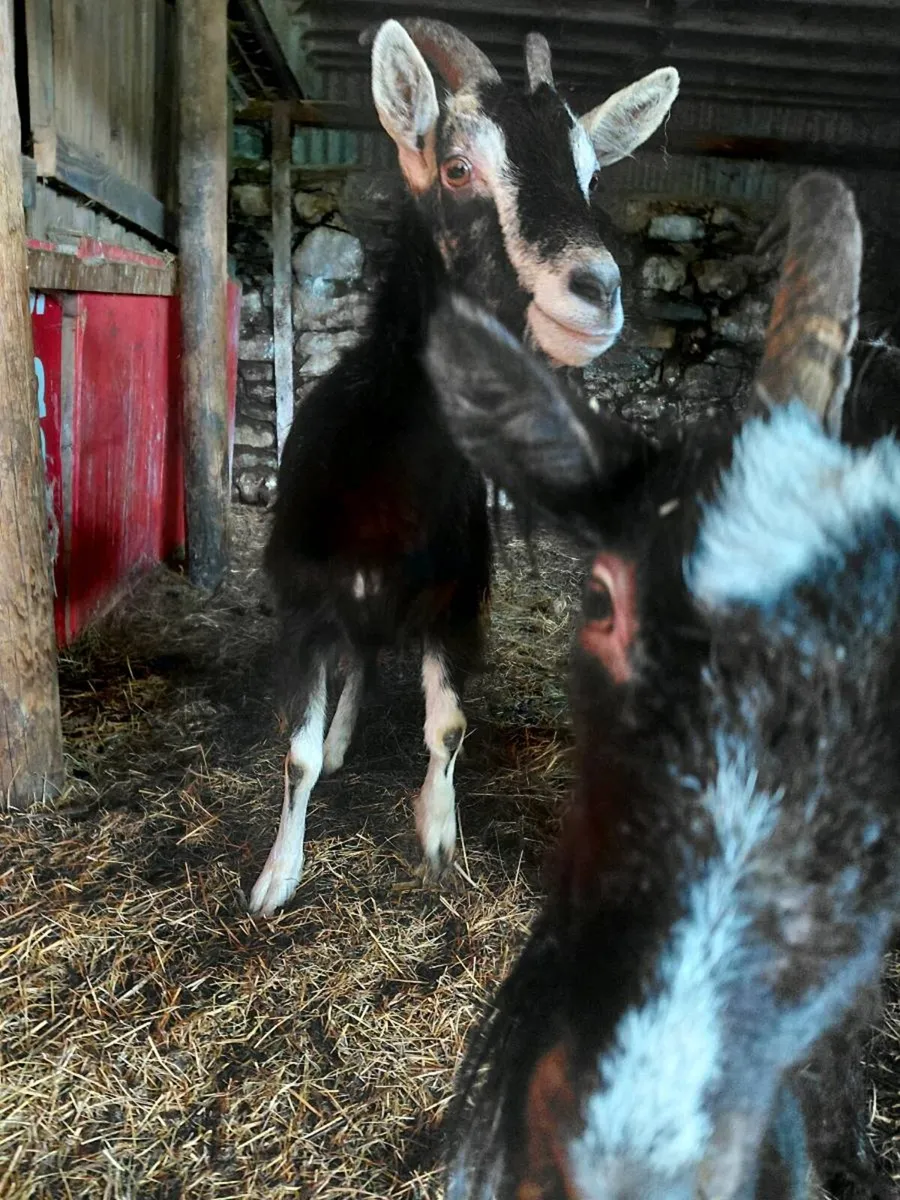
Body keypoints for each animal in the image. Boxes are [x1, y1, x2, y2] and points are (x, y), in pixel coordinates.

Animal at [248, 19, 680, 916]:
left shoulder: (453, 601)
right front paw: (275, 877)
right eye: (457, 166)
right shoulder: (304, 597)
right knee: (354, 660)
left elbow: (446, 728)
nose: (598, 291)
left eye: (590, 174)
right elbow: (294, 753)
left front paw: (437, 834)